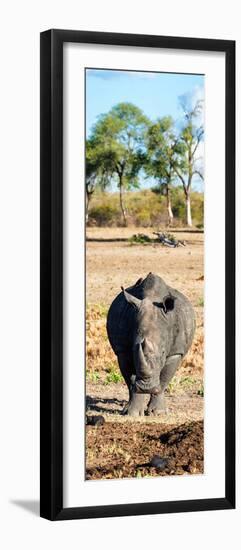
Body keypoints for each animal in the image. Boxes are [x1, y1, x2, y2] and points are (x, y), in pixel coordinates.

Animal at [106, 274, 195, 416]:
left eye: (163, 352)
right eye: (134, 349)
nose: (146, 387)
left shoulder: (175, 352)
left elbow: (164, 380)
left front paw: (159, 413)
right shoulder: (123, 350)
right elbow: (130, 380)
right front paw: (133, 413)